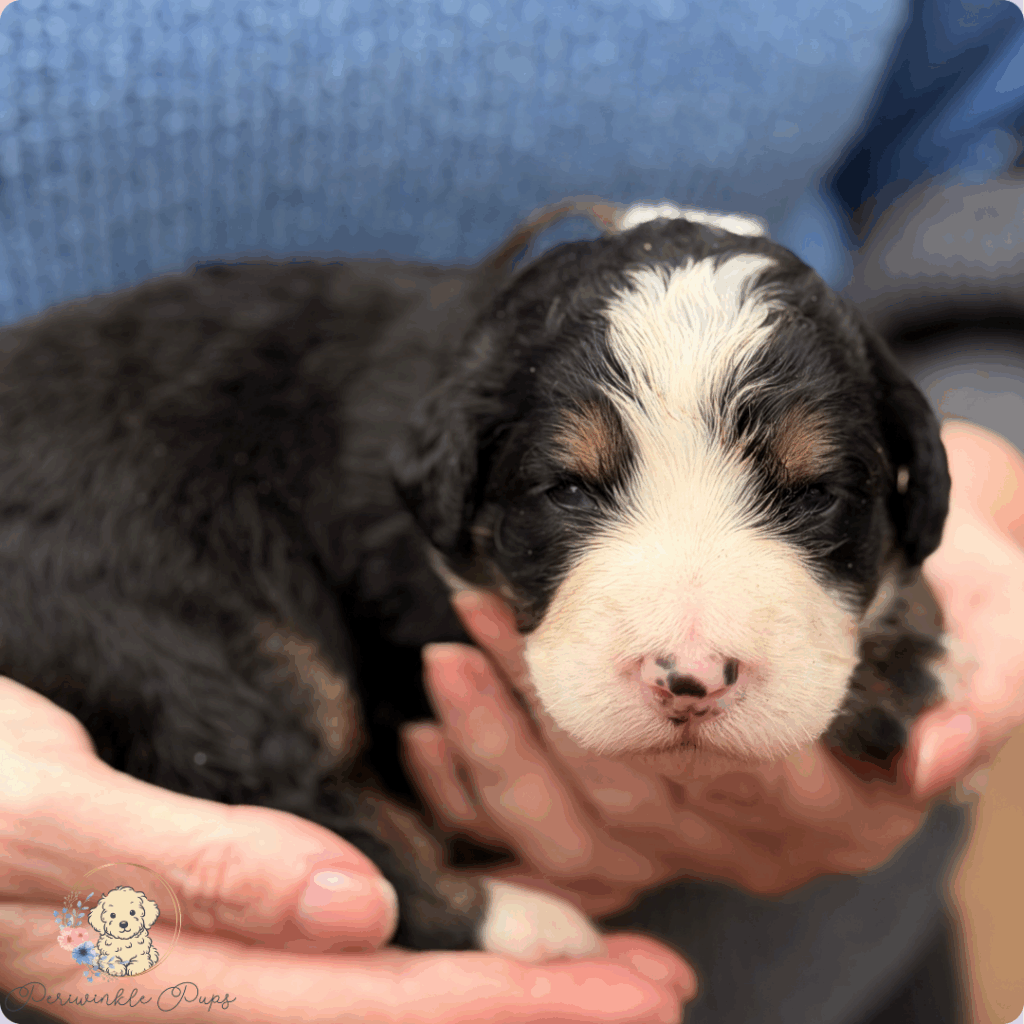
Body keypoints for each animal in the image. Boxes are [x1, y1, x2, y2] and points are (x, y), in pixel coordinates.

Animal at [0, 200, 952, 958]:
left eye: (815, 493)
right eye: (568, 489)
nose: (691, 679)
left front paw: (898, 659)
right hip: (163, 608)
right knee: (287, 797)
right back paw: (527, 926)